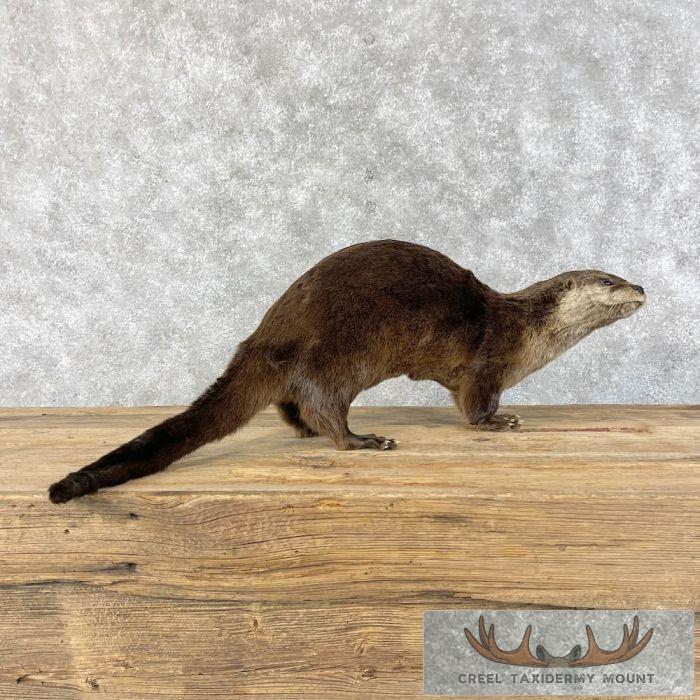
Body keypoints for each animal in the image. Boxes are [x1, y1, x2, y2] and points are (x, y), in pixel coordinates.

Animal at [48, 240, 645, 503]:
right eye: (609, 280)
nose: (641, 287)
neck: (524, 331)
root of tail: (264, 335)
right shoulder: (485, 363)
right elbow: (476, 406)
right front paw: (502, 422)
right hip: (337, 356)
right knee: (321, 404)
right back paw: (362, 440)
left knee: (292, 408)